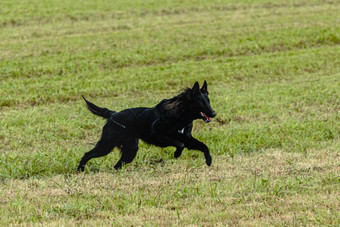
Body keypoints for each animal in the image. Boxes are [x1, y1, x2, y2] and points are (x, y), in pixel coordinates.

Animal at [77, 80, 215, 171]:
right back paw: (80, 170)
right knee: (87, 154)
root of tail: (113, 114)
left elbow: (203, 146)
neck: (181, 113)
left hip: (130, 150)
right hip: (106, 145)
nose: (214, 113)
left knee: (117, 165)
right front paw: (177, 154)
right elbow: (180, 144)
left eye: (208, 101)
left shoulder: (186, 138)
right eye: (201, 102)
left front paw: (208, 160)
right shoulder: (158, 134)